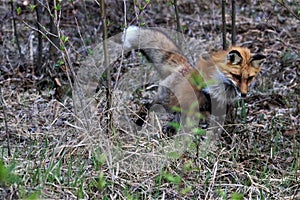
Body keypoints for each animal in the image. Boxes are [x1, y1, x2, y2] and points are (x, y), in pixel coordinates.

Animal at [123, 25, 266, 134]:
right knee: (148, 104)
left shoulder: (224, 105)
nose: (244, 94)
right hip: (167, 101)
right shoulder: (205, 94)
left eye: (249, 78)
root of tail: (184, 66)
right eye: (236, 76)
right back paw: (139, 121)